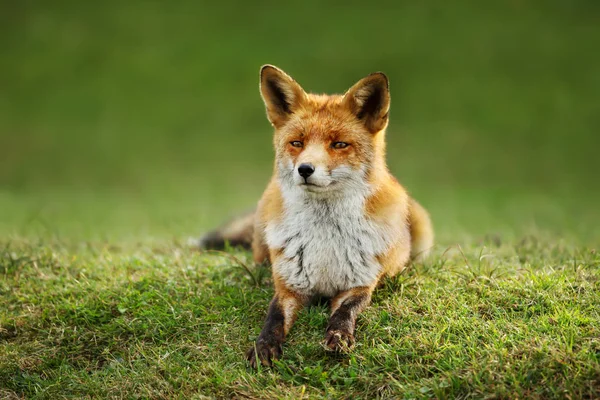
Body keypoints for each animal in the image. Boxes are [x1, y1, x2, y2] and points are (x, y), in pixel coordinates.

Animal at [199, 65, 434, 368]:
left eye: (339, 144)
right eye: (297, 143)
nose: (305, 169)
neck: (325, 240)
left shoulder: (360, 284)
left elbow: (345, 312)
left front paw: (339, 336)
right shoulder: (289, 286)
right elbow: (274, 317)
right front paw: (264, 346)